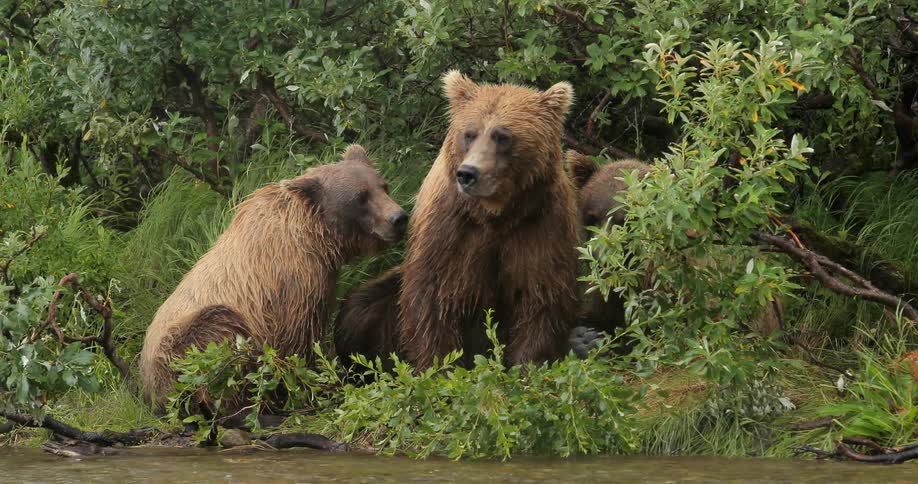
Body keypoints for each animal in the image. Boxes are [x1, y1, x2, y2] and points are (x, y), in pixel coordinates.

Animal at [139, 145, 407, 411]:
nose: (398, 218)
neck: (318, 240)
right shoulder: (294, 282)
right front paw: (315, 386)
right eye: (360, 197)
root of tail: (148, 390)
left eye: (383, 186)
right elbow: (299, 340)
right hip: (182, 349)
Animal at [396, 71, 581, 369]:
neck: (496, 215)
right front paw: (439, 365)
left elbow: (541, 297)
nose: (468, 173)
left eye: (502, 136)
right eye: (469, 133)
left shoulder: (540, 227)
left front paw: (527, 364)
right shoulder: (450, 233)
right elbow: (433, 301)